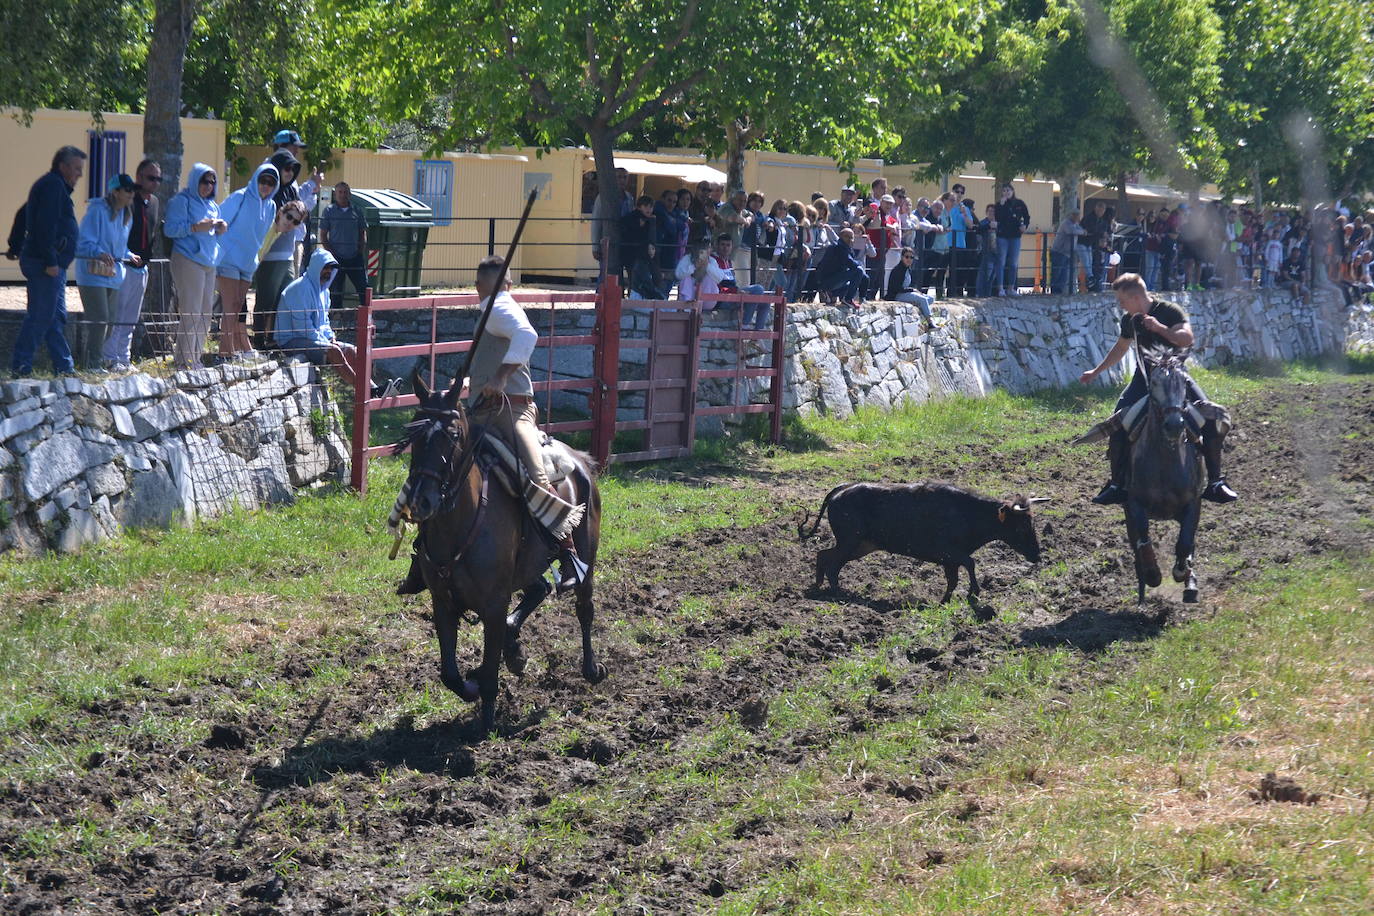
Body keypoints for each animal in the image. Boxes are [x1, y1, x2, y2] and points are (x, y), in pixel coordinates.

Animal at [395, 368, 604, 736]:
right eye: (414, 433)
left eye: (452, 434)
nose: (421, 501)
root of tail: (581, 461)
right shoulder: (442, 602)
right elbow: (449, 673)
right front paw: (472, 684)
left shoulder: (493, 604)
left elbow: (490, 670)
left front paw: (487, 722)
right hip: (529, 565)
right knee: (539, 588)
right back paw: (515, 651)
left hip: (586, 560)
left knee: (584, 608)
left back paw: (590, 668)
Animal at [802, 483, 1044, 604]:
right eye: (1022, 527)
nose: (1036, 555)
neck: (967, 513)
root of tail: (838, 492)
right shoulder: (949, 553)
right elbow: (970, 563)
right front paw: (973, 593)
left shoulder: (950, 560)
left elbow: (953, 580)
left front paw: (946, 600)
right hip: (851, 541)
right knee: (831, 562)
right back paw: (837, 592)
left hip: (861, 545)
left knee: (824, 556)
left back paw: (821, 586)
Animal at [1121, 354, 1209, 604]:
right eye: (1153, 384)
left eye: (1185, 384)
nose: (1174, 424)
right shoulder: (1134, 504)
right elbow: (1143, 538)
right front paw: (1152, 574)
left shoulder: (1194, 503)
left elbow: (1185, 542)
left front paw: (1184, 574)